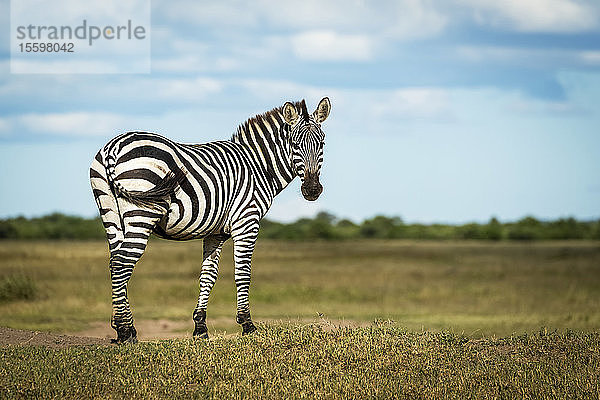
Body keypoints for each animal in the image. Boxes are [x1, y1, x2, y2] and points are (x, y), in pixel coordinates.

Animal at [89, 98, 332, 342]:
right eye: (295, 144)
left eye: (321, 144)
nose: (312, 190)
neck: (257, 168)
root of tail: (113, 146)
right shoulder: (247, 221)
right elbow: (243, 273)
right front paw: (248, 325)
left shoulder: (216, 232)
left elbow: (208, 275)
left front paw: (200, 328)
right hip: (141, 213)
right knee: (123, 262)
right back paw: (125, 331)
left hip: (110, 214)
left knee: (115, 262)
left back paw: (123, 327)